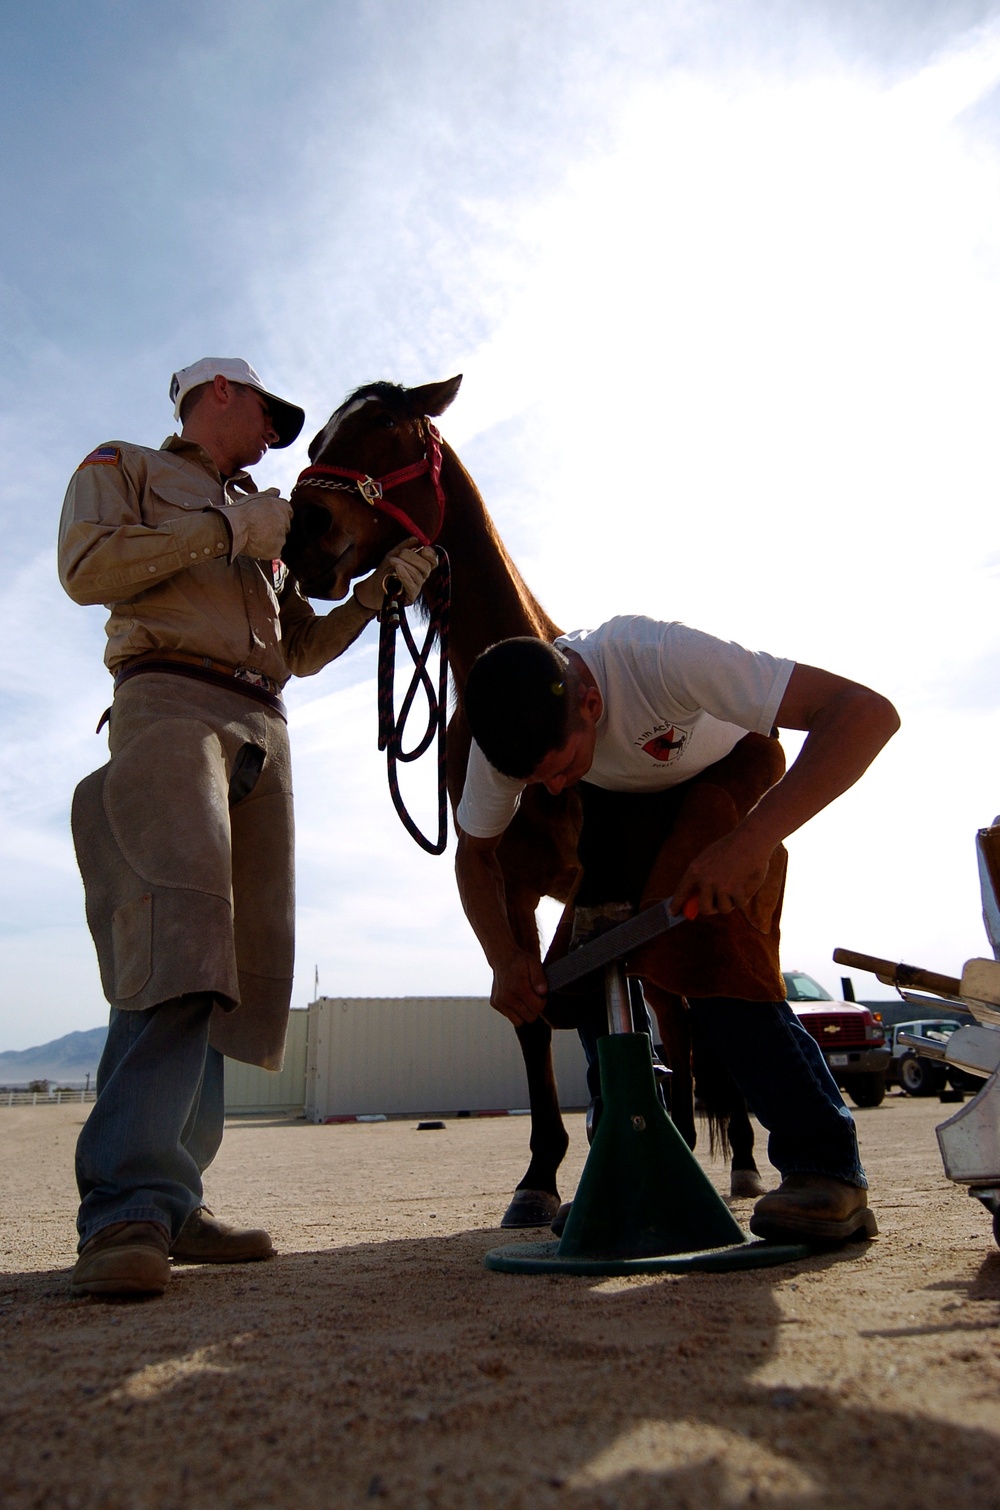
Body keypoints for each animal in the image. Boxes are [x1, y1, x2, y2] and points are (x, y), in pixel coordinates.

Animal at [285, 374, 764, 1214]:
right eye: (316, 442)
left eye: (389, 428)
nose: (302, 531)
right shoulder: (510, 886)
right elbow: (532, 1019)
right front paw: (540, 1175)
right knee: (673, 1022)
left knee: (695, 1017)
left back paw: (736, 1156)